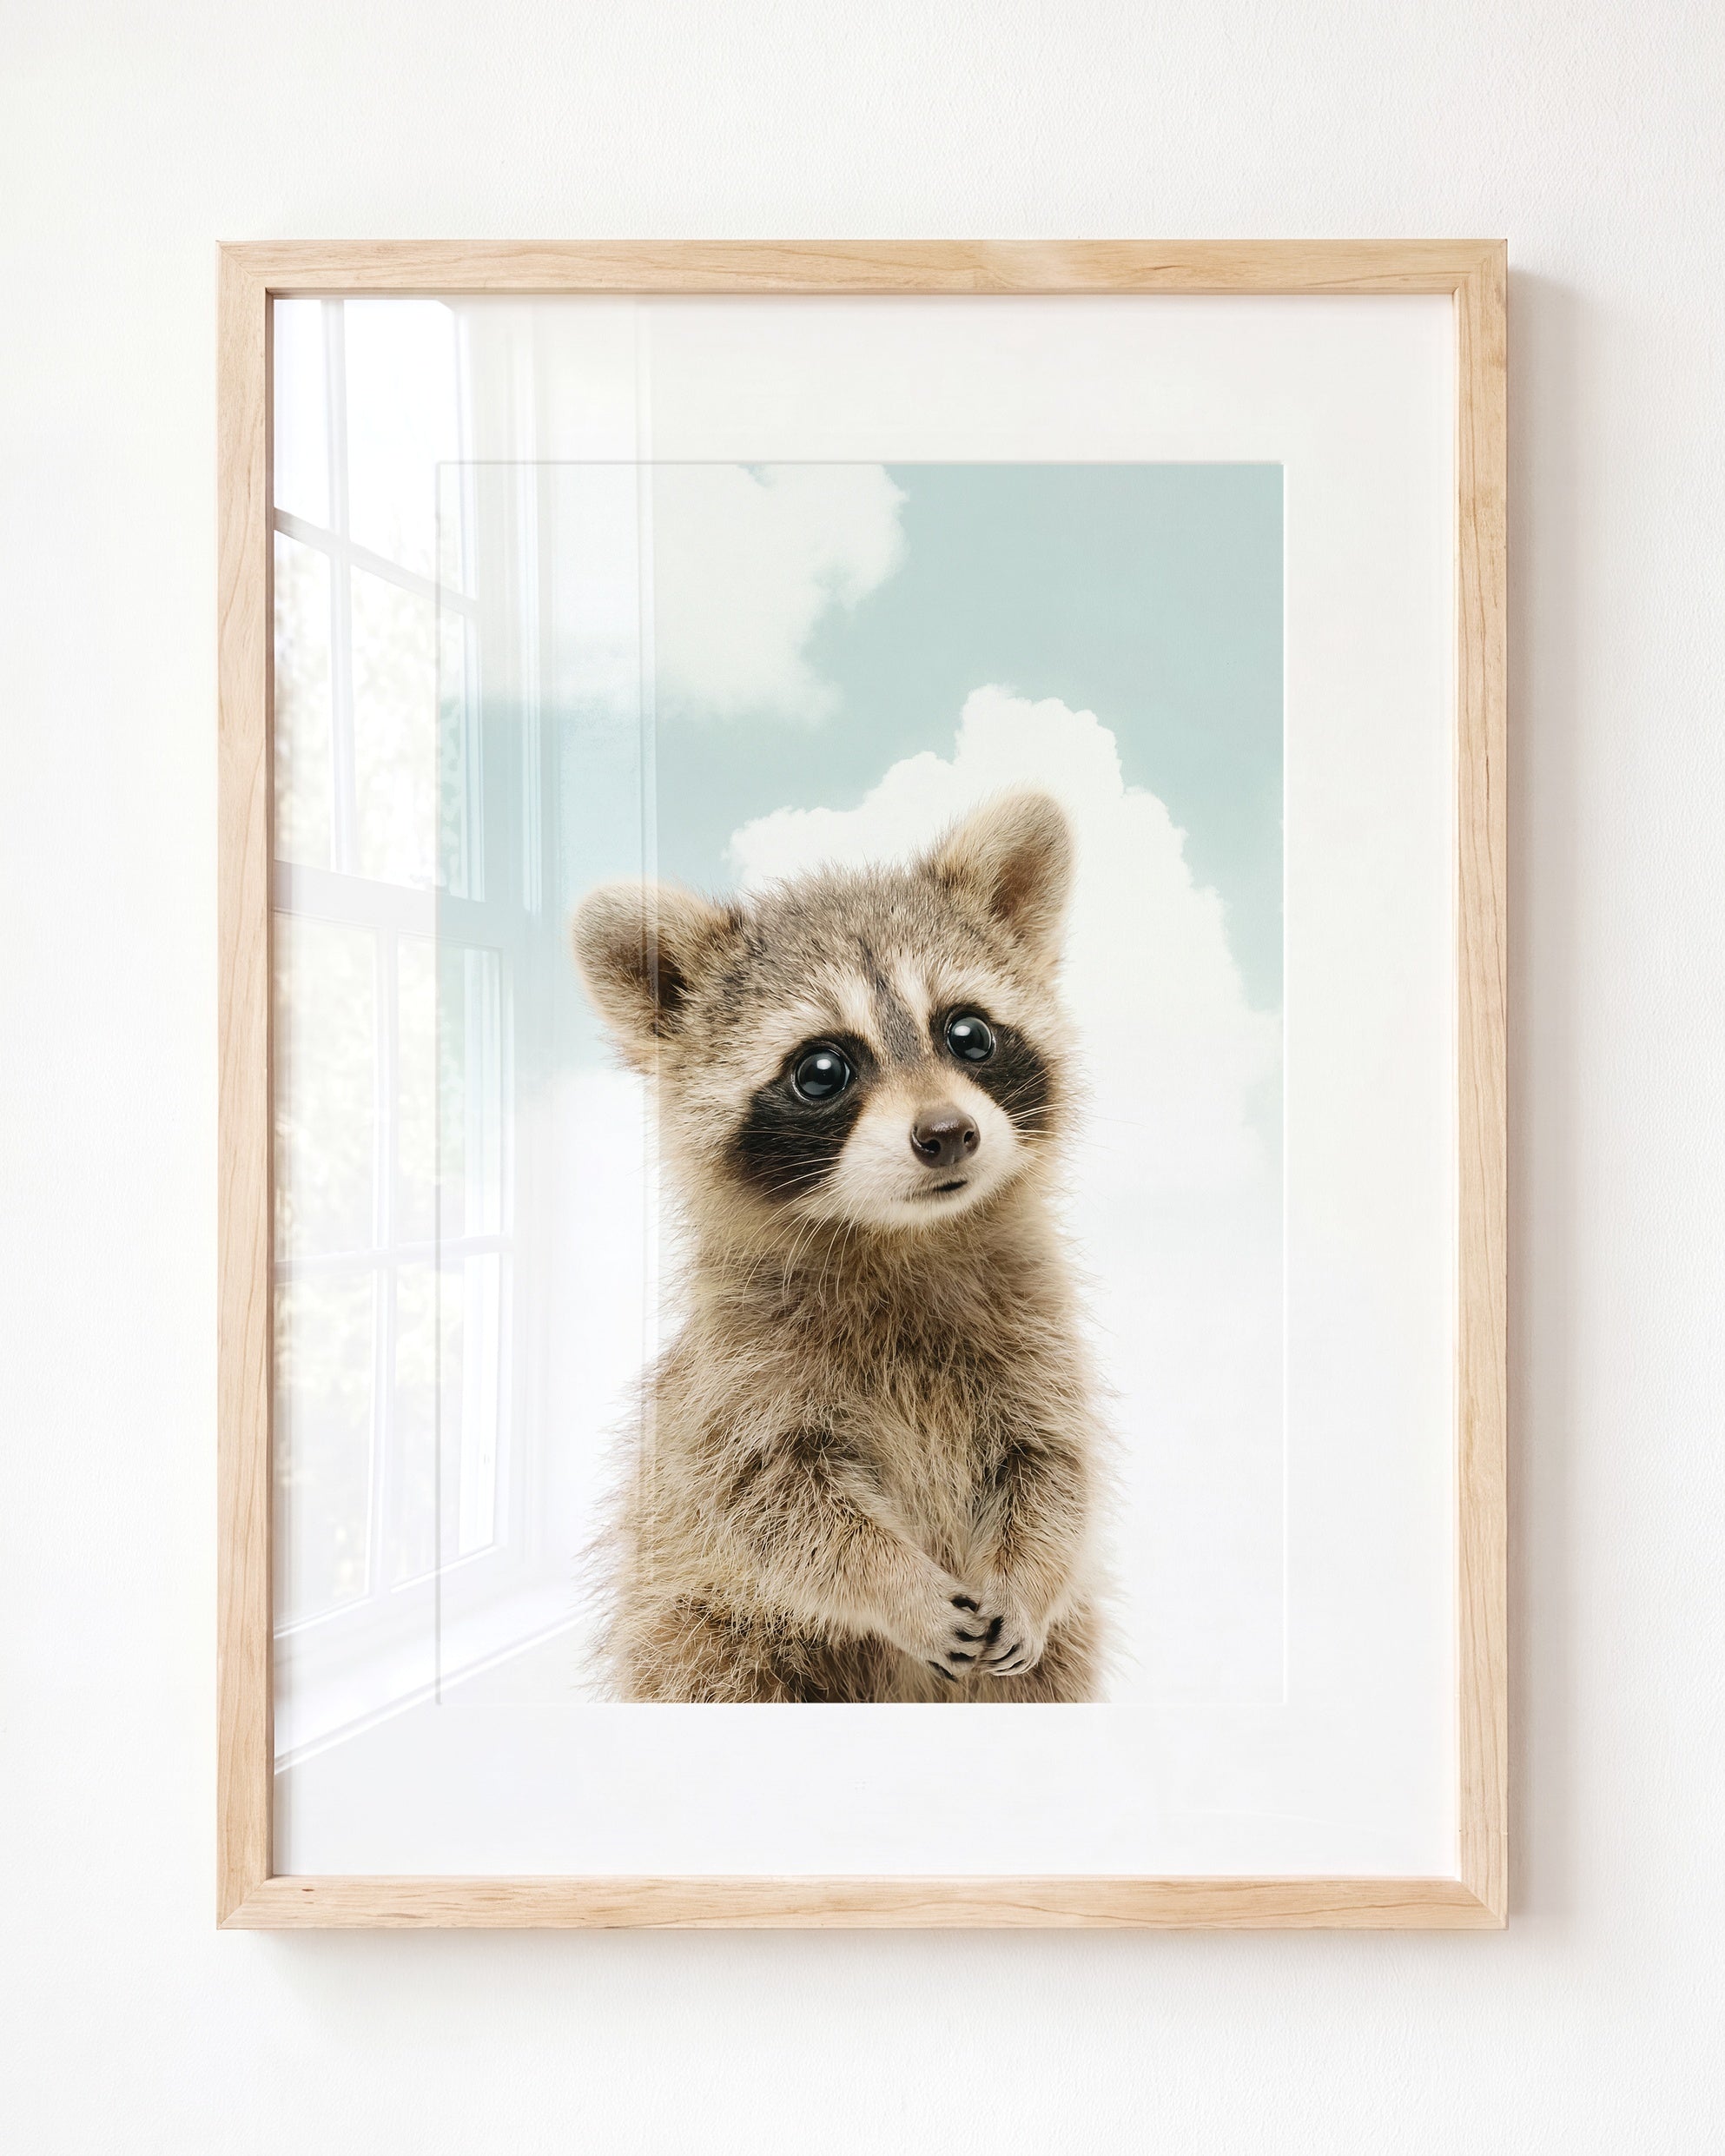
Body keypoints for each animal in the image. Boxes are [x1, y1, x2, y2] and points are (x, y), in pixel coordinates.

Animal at [571, 790, 1105, 1703]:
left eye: (968, 1034)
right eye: (822, 1070)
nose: (948, 1134)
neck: (902, 1238)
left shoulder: (1038, 1338)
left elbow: (1054, 1469)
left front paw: (1029, 1577)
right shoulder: (737, 1381)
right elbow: (775, 1508)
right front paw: (897, 1587)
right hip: (703, 1633)